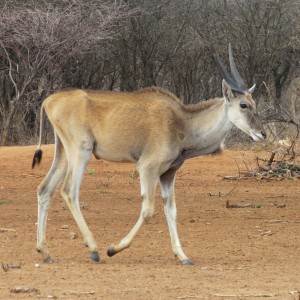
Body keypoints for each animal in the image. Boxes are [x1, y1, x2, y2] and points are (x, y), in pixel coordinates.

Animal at [32, 44, 266, 264]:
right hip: (82, 151)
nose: (262, 133)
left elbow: (171, 210)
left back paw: (45, 251)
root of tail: (49, 101)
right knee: (69, 190)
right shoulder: (147, 167)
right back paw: (93, 249)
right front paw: (113, 248)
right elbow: (148, 210)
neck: (182, 122)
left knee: (45, 189)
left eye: (254, 104)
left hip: (63, 153)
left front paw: (183, 256)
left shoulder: (168, 174)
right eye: (243, 105)